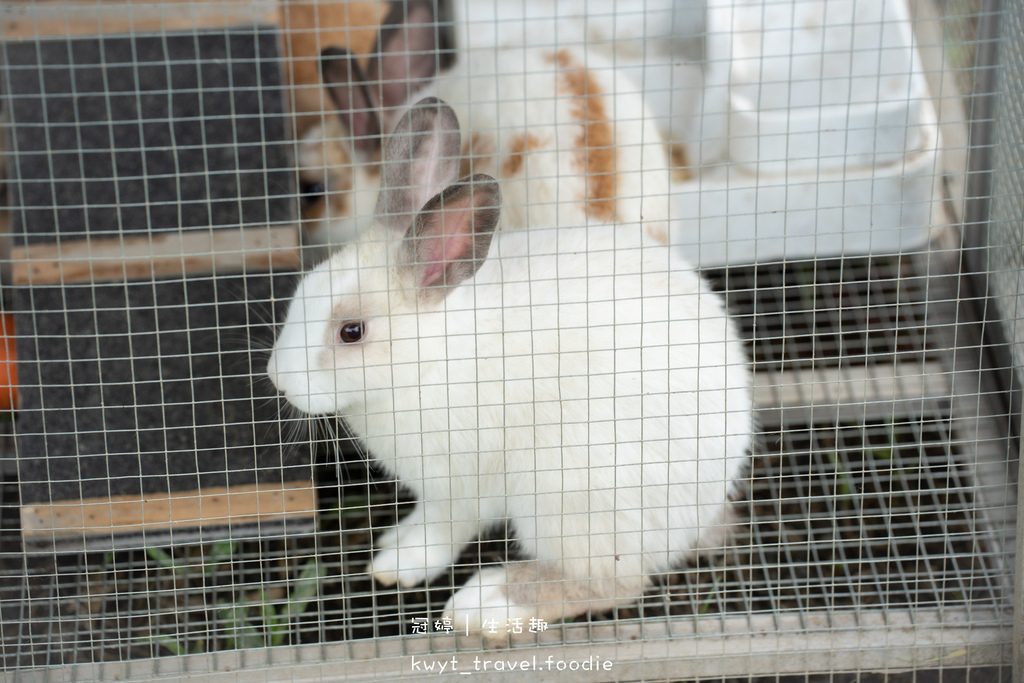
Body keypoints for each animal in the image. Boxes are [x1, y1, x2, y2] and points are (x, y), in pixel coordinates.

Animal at [272, 100, 753, 643]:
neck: (432, 359)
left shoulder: (462, 480)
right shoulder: (442, 492)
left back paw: (484, 604)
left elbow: (451, 524)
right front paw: (393, 560)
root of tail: (708, 496)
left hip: (570, 503)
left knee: (613, 583)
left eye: (351, 332)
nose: (277, 377)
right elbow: (432, 527)